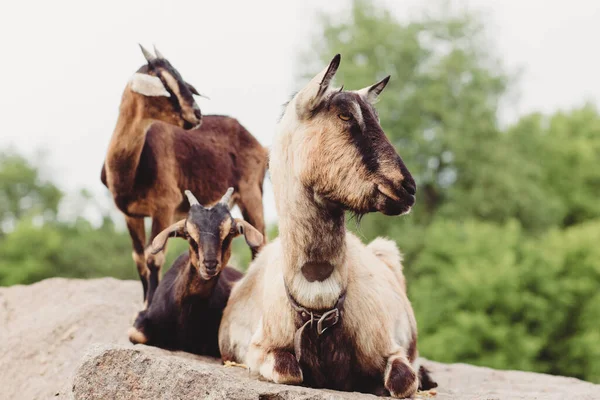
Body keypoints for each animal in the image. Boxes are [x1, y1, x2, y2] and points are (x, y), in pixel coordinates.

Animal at [100, 44, 268, 306]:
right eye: (165, 83)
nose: (196, 113)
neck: (131, 170)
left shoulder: (164, 206)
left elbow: (154, 256)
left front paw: (151, 302)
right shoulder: (130, 214)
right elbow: (139, 258)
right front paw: (144, 302)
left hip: (252, 195)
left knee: (260, 245)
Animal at [217, 55, 436, 396]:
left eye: (376, 117)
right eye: (345, 115)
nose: (408, 188)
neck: (318, 306)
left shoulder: (391, 349)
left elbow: (403, 380)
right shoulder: (259, 348)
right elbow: (288, 370)